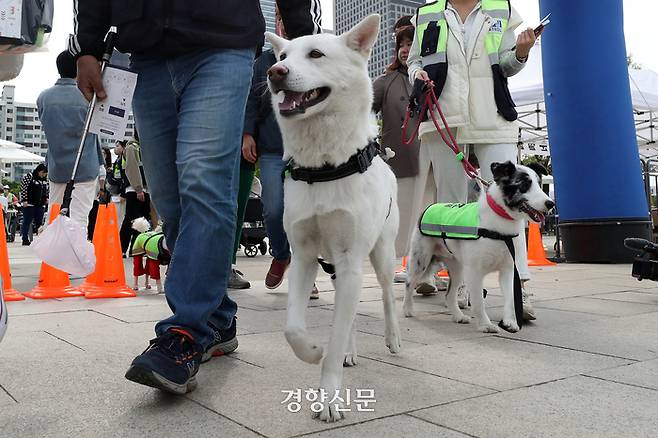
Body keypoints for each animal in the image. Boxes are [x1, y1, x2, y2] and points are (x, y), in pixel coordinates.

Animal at [262, 15, 400, 422]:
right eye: (282, 56)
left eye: (316, 54)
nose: (274, 72)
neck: (324, 167)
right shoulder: (305, 256)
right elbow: (293, 328)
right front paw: (312, 351)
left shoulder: (352, 261)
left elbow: (338, 335)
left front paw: (328, 398)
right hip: (336, 267)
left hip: (381, 254)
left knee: (386, 294)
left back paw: (393, 338)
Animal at [402, 163, 552, 334]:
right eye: (524, 185)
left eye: (540, 184)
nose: (551, 204)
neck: (499, 226)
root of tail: (430, 207)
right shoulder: (474, 272)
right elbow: (479, 302)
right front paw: (486, 324)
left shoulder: (507, 271)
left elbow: (510, 298)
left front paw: (509, 322)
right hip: (421, 260)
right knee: (409, 283)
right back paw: (407, 309)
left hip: (457, 267)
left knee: (449, 295)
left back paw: (458, 316)